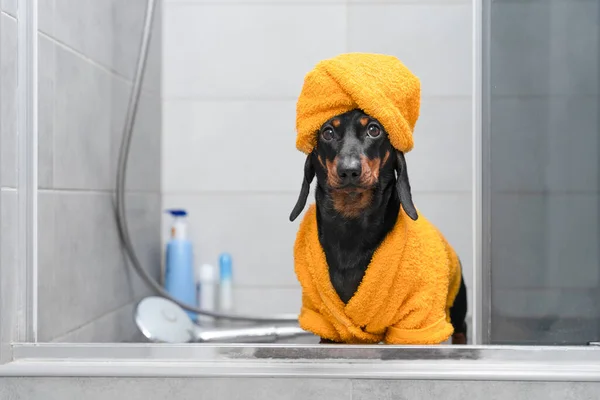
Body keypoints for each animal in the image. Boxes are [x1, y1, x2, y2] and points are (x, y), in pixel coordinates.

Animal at [288, 108, 466, 344]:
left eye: (374, 130)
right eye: (328, 132)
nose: (349, 170)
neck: (351, 227)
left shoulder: (415, 321)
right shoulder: (326, 322)